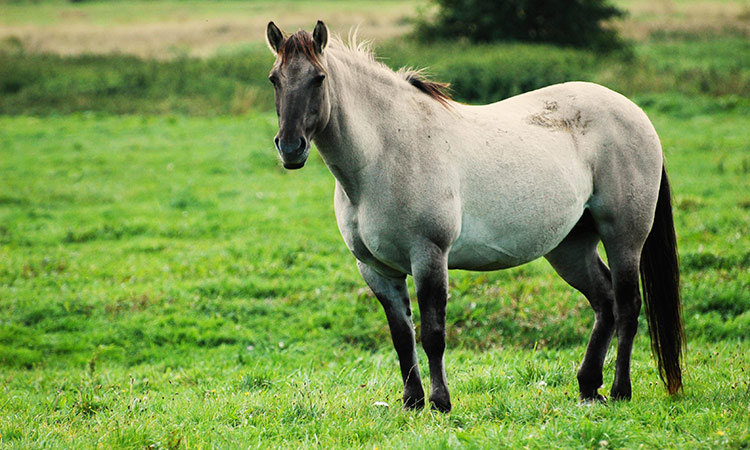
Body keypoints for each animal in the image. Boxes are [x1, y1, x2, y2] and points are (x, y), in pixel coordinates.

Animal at [264, 21, 688, 414]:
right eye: (274, 79)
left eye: (319, 78)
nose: (290, 148)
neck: (386, 153)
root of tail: (635, 113)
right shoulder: (376, 269)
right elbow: (402, 338)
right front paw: (411, 402)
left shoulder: (429, 256)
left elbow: (433, 334)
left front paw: (440, 402)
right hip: (570, 246)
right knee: (604, 302)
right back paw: (588, 387)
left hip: (624, 236)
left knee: (628, 306)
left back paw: (619, 391)